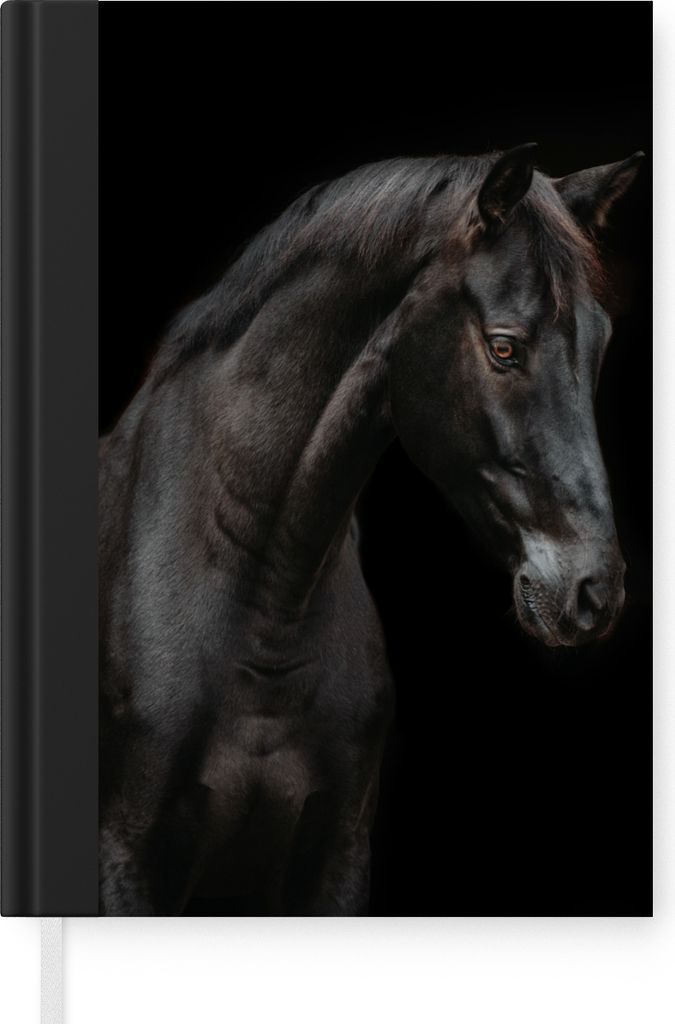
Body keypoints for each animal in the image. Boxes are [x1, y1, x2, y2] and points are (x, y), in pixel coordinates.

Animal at [99, 144, 643, 915]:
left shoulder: (339, 853)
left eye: (599, 346)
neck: (263, 608)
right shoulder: (126, 854)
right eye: (504, 348)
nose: (595, 592)